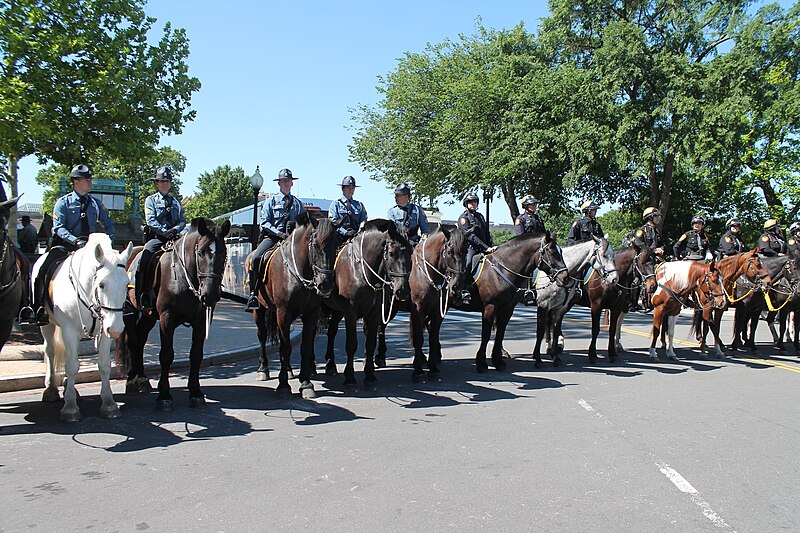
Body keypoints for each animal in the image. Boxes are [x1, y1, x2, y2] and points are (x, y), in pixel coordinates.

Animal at [34, 235, 134, 422]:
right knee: (50, 350)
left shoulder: (105, 332)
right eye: (101, 284)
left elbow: (104, 365)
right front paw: (70, 408)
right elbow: (72, 365)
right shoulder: (70, 331)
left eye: (126, 285)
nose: (116, 329)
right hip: (47, 324)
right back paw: (51, 389)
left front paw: (109, 404)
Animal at [120, 218, 231, 410]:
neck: (182, 276)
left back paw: (142, 378)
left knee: (140, 341)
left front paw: (195, 392)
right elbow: (166, 355)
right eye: (200, 253)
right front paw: (164, 395)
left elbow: (196, 355)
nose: (209, 295)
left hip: (148, 316)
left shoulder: (201, 322)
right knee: (132, 341)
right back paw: (132, 380)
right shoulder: (167, 320)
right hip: (130, 311)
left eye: (224, 253)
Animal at [252, 210, 336, 396]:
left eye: (336, 246)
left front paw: (306, 383)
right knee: (262, 336)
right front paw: (283, 385)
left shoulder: (311, 313)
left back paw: (290, 370)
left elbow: (304, 346)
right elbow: (285, 348)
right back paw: (263, 369)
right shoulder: (283, 312)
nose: (325, 284)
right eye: (316, 245)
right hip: (259, 309)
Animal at [322, 218, 412, 388]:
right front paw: (349, 377)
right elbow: (351, 344)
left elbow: (370, 342)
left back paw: (330, 364)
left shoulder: (375, 312)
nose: (402, 290)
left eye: (411, 253)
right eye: (391, 253)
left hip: (338, 310)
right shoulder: (350, 313)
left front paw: (370, 375)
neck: (361, 270)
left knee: (332, 331)